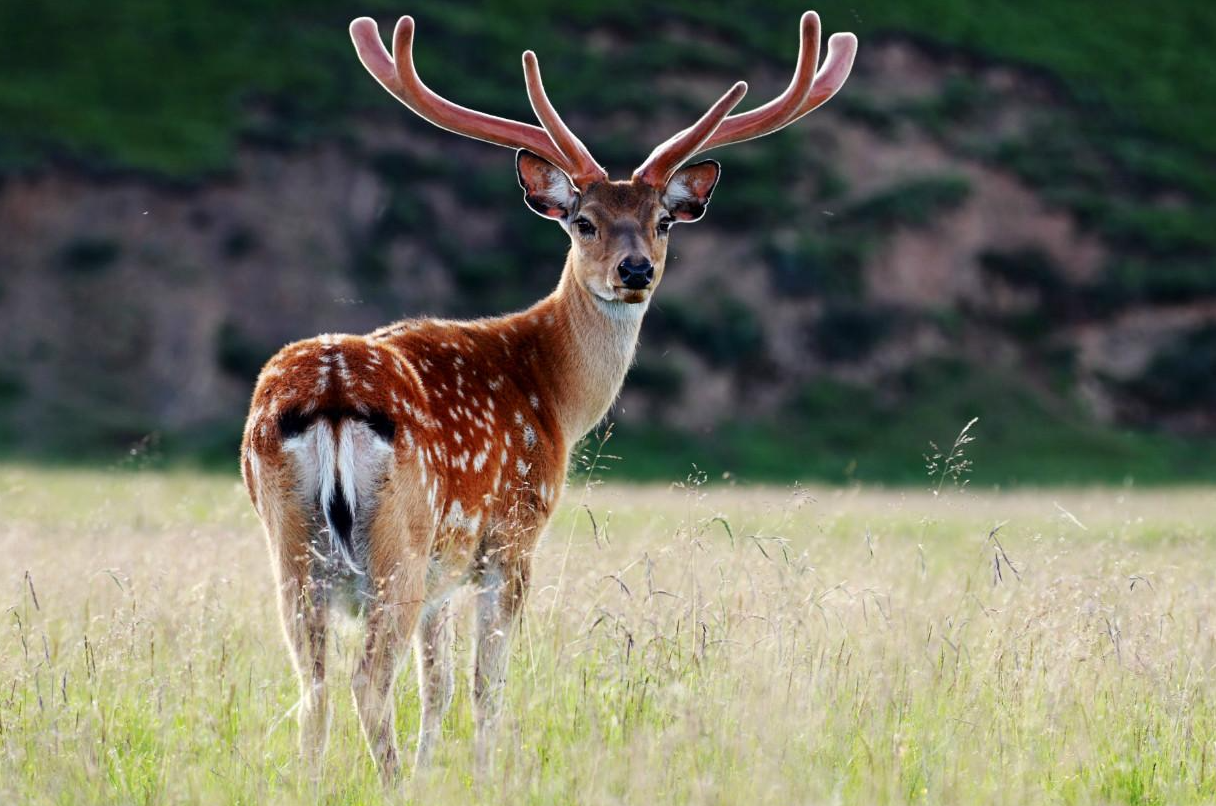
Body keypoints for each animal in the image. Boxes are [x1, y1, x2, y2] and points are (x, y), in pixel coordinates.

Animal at [239, 11, 856, 782]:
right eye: (582, 221)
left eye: (663, 220)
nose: (635, 270)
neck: (553, 395)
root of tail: (329, 396)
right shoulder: (512, 535)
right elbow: (485, 687)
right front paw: (478, 777)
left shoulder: (446, 569)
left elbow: (438, 688)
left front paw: (430, 776)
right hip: (399, 539)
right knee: (365, 682)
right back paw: (385, 780)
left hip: (292, 546)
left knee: (312, 689)